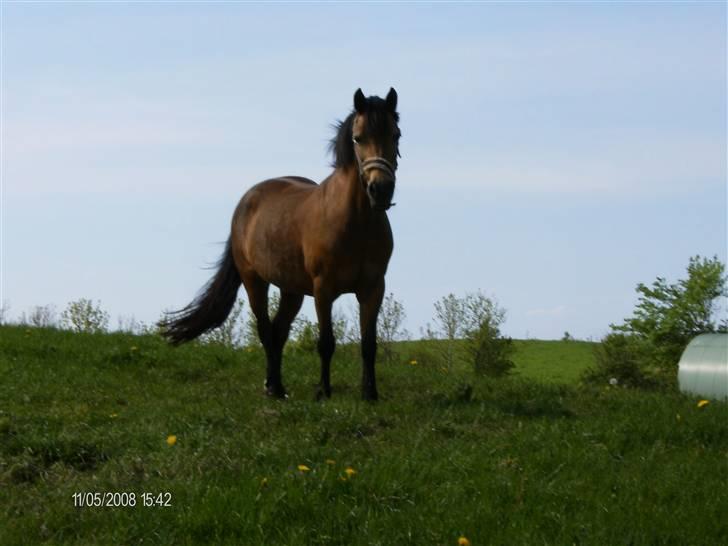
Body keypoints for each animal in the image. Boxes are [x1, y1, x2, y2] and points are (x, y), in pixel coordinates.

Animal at [159, 88, 400, 400]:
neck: (355, 223)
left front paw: (370, 394)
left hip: (291, 290)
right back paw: (273, 387)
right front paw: (323, 392)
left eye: (396, 134)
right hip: (254, 281)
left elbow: (369, 343)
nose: (381, 190)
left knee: (278, 330)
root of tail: (247, 200)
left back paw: (276, 384)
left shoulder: (373, 288)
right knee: (265, 329)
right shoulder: (323, 289)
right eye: (358, 138)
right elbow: (326, 342)